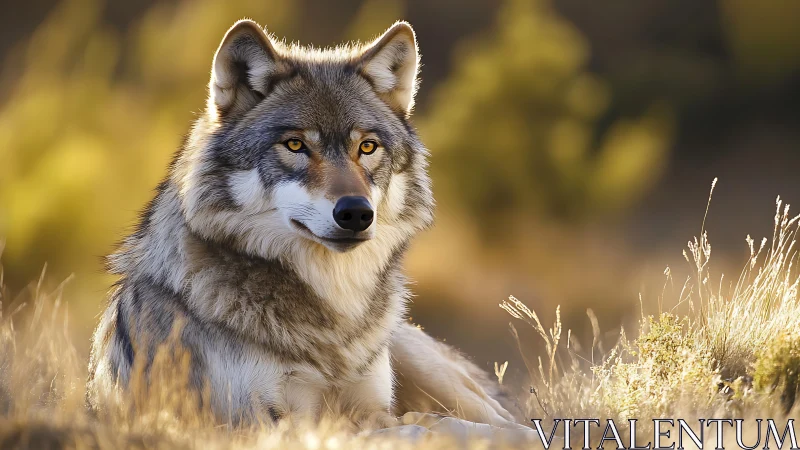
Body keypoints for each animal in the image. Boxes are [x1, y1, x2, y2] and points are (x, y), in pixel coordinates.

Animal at [87, 19, 517, 429]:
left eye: (367, 147)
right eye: (295, 145)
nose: (356, 213)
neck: (335, 314)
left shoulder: (371, 406)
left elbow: (435, 424)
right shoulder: (261, 417)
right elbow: (420, 426)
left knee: (503, 418)